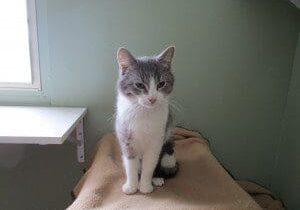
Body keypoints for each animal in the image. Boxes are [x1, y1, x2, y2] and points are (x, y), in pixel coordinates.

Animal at [115, 46, 179, 194]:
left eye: (161, 84)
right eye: (139, 85)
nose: (152, 98)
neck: (144, 111)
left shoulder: (157, 141)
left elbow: (150, 165)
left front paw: (145, 186)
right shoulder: (126, 138)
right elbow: (131, 165)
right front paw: (132, 186)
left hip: (168, 152)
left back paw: (157, 178)